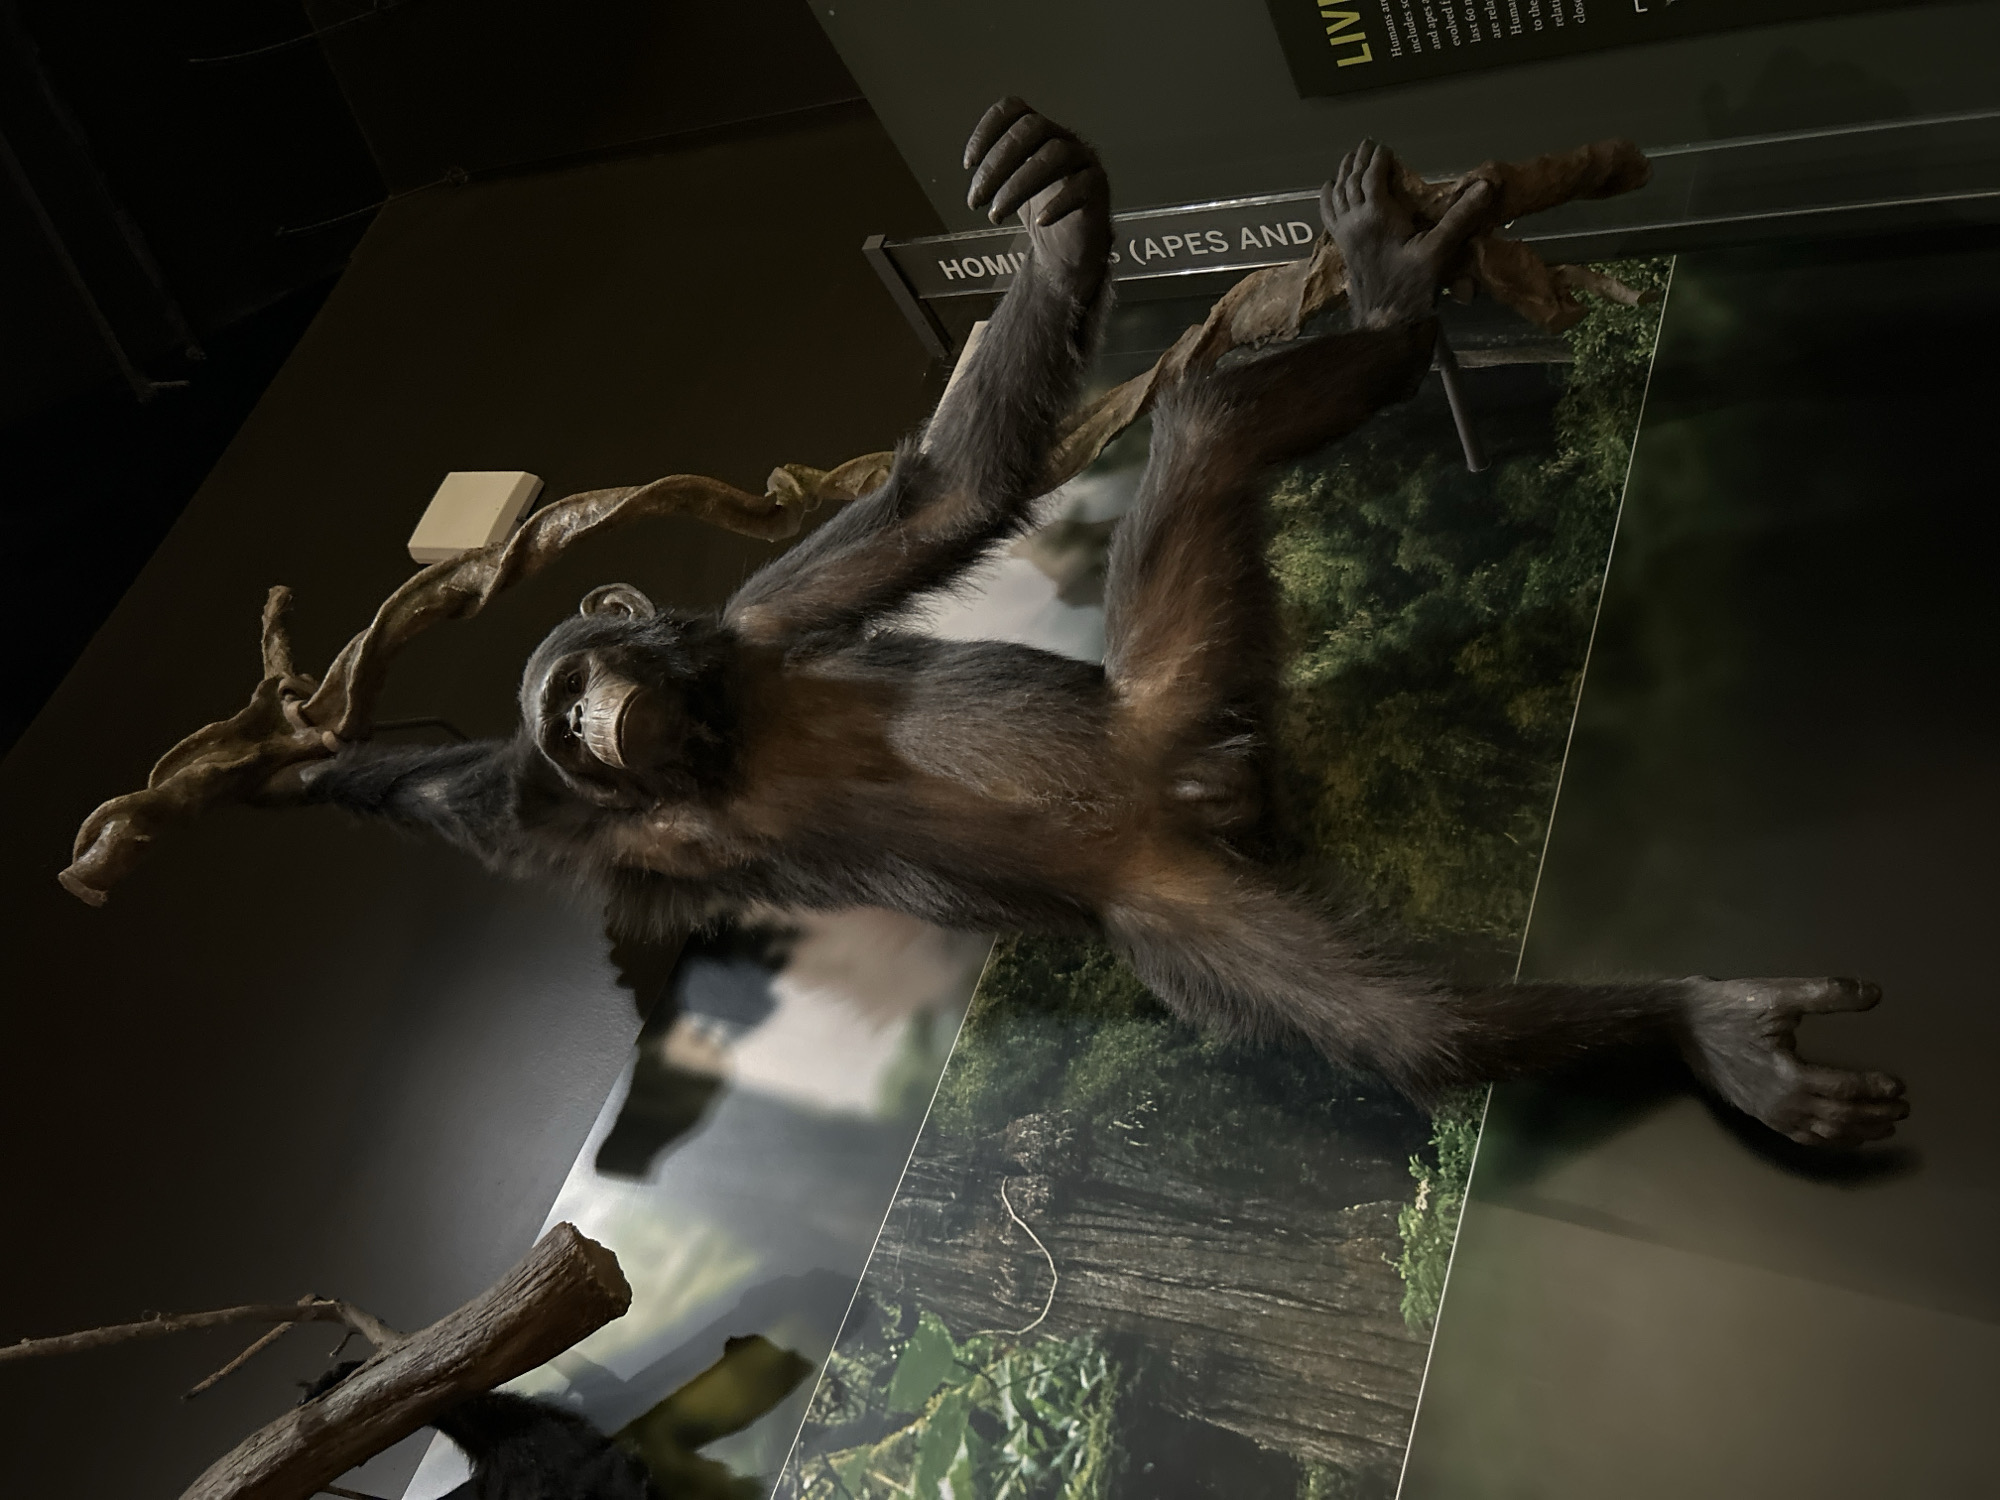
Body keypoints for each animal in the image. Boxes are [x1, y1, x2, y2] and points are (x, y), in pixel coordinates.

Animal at [275, 100, 1906, 1151]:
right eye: (564, 712)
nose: (586, 720)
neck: (712, 748)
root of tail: (1210, 776)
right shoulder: (568, 823)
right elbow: (454, 800)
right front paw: (308, 758)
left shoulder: (757, 621)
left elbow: (944, 494)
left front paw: (1056, 217)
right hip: (1169, 908)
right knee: (1410, 1029)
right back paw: (1704, 1028)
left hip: (1173, 672)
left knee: (1213, 430)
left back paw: (1386, 300)